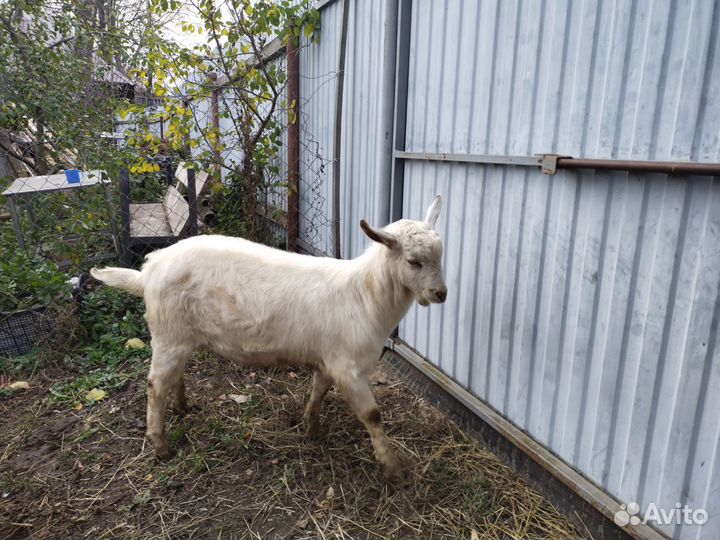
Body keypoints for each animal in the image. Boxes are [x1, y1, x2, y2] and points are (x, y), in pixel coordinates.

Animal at [91, 195, 447, 481]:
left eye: (441, 257)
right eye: (413, 261)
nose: (440, 294)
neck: (365, 295)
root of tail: (149, 271)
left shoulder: (329, 356)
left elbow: (319, 389)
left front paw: (311, 427)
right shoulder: (349, 366)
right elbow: (372, 415)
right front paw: (391, 466)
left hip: (180, 335)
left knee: (171, 376)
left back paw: (180, 406)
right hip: (168, 332)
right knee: (155, 385)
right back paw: (161, 445)